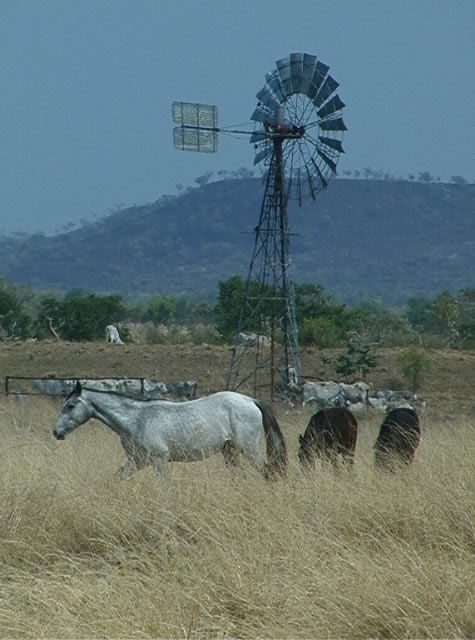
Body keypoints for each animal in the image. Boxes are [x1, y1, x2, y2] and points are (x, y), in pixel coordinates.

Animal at [54, 382, 288, 478]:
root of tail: (252, 401)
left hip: (248, 449)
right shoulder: (138, 462)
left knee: (267, 472)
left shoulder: (159, 460)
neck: (136, 420)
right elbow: (114, 479)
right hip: (229, 451)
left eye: (71, 406)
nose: (56, 432)